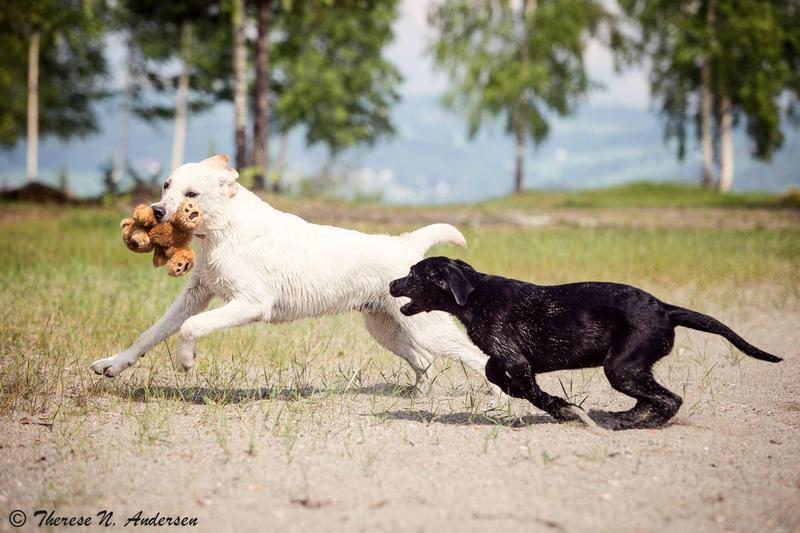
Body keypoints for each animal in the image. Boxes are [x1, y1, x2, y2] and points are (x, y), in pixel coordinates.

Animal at [92, 154, 494, 390]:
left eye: (192, 194)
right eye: (166, 185)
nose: (157, 212)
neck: (225, 231)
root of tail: (408, 246)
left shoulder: (250, 304)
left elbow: (191, 328)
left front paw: (186, 361)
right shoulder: (196, 294)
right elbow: (151, 333)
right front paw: (113, 365)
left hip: (429, 329)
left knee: (475, 357)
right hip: (384, 328)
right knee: (424, 361)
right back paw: (415, 396)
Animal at [390, 256, 780, 428]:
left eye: (412, 273)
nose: (392, 284)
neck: (476, 294)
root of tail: (666, 309)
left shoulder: (515, 359)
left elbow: (532, 390)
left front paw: (564, 410)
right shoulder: (506, 358)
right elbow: (494, 372)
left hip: (621, 366)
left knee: (670, 399)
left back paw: (630, 423)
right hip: (631, 369)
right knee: (654, 398)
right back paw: (623, 416)